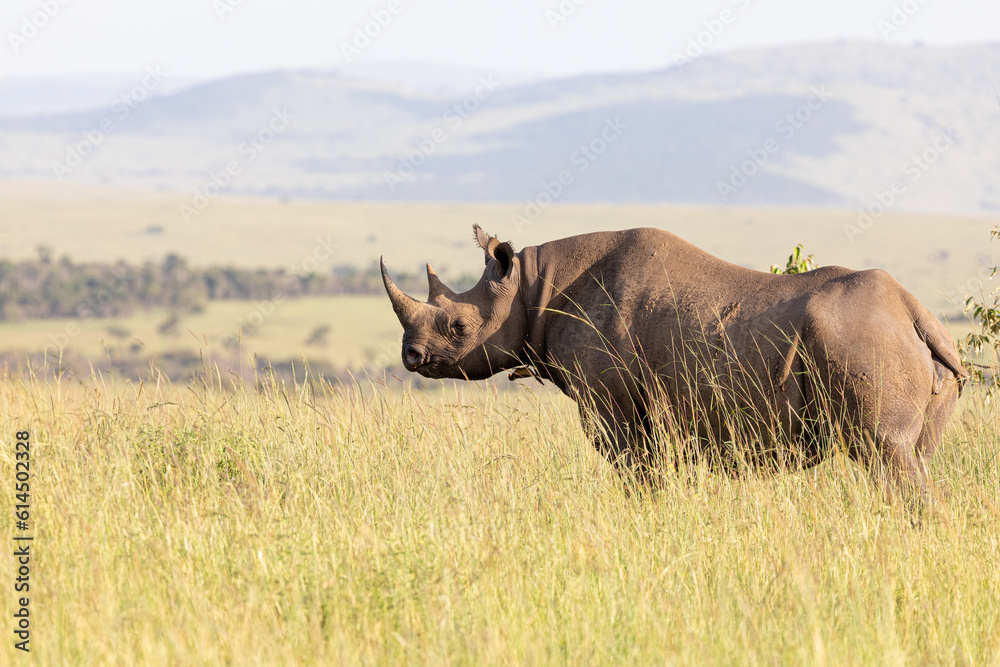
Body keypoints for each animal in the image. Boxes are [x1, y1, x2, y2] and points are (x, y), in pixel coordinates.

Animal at [380, 225, 966, 503]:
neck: (530, 284)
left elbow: (635, 470)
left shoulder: (611, 404)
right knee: (914, 456)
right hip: (912, 346)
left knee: (886, 453)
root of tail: (914, 313)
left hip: (866, 341)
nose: (411, 356)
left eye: (458, 327)